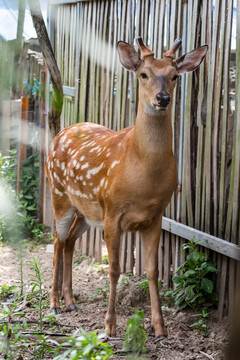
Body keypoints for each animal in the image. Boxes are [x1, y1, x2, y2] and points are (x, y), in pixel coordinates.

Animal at [46, 38, 207, 338]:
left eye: (174, 76)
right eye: (143, 74)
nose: (163, 98)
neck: (143, 176)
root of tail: (60, 132)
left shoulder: (155, 216)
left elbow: (153, 271)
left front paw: (160, 328)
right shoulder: (113, 212)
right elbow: (114, 269)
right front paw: (109, 326)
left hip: (86, 211)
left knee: (70, 241)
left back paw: (71, 301)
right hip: (59, 194)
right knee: (57, 241)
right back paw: (54, 304)